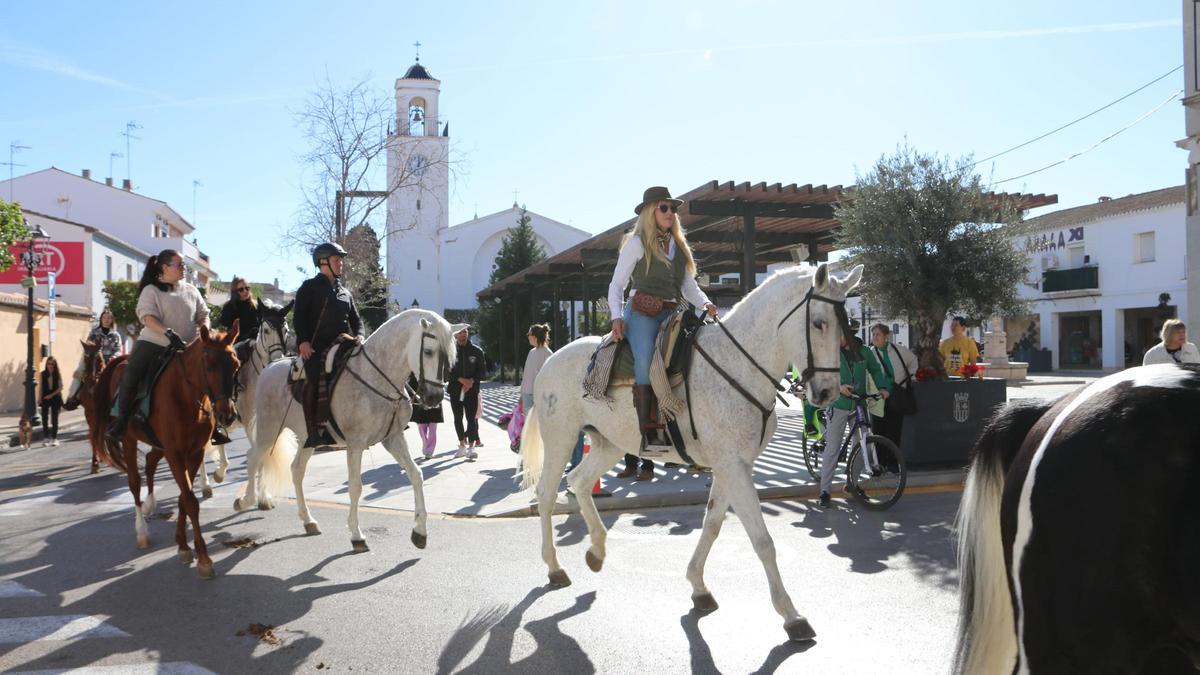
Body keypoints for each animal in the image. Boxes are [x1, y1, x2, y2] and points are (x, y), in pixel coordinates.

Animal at [91, 324, 241, 576]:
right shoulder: (175, 453)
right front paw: (203, 559)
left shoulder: (194, 453)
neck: (185, 394)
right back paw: (142, 532)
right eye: (209, 364)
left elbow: (183, 498)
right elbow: (190, 500)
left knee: (151, 461)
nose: (227, 415)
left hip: (157, 444)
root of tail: (123, 361)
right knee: (134, 482)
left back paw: (150, 504)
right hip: (129, 439)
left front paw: (183, 545)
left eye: (236, 364)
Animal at [234, 309, 453, 552]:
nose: (434, 397)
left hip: (307, 438)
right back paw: (246, 500)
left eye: (450, 357)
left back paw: (308, 520)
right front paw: (356, 534)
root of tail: (271, 366)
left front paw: (420, 531)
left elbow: (416, 474)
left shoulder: (393, 438)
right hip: (269, 430)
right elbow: (356, 487)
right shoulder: (355, 444)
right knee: (254, 458)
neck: (375, 374)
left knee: (296, 470)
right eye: (428, 352)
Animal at [520, 263, 859, 638]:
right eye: (819, 323)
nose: (828, 392)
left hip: (611, 444)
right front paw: (791, 615)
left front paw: (699, 587)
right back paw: (554, 567)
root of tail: (550, 360)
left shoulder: (730, 466)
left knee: (579, 481)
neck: (738, 366)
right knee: (547, 494)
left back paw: (596, 550)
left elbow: (712, 524)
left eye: (847, 325)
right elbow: (762, 541)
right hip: (561, 438)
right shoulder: (733, 467)